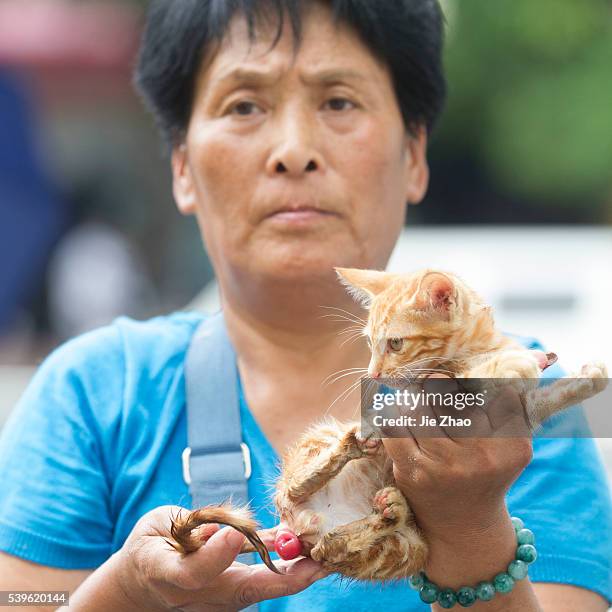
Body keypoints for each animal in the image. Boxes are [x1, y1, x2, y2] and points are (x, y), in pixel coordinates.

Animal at [169, 266, 608, 580]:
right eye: (370, 343)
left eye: (395, 343)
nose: (373, 372)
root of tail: (302, 524)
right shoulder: (442, 385)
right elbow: (480, 375)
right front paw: (516, 362)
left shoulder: (524, 410)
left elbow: (555, 393)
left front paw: (583, 374)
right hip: (320, 442)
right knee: (296, 487)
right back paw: (355, 445)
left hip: (403, 549)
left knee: (332, 548)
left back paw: (386, 511)